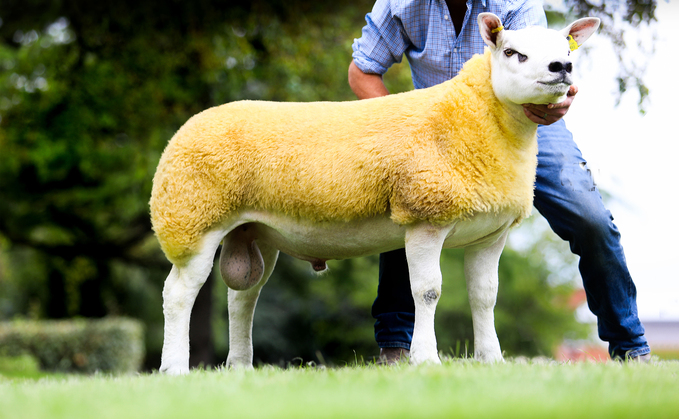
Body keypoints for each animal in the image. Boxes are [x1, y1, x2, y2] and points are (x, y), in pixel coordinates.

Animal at [151, 13, 596, 376]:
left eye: (565, 50)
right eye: (511, 52)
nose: (563, 68)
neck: (480, 124)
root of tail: (186, 128)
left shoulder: (490, 234)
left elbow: (486, 297)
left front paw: (492, 360)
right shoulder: (425, 217)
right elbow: (428, 291)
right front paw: (426, 359)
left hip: (254, 232)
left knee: (242, 299)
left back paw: (240, 367)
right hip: (192, 220)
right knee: (177, 295)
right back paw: (174, 368)